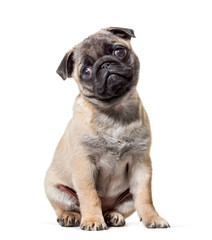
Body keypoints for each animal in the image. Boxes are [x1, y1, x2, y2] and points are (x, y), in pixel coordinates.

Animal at [44, 26, 170, 231]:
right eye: (86, 71)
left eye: (119, 52)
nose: (105, 64)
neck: (114, 111)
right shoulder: (84, 165)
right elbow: (90, 196)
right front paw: (92, 220)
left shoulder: (141, 164)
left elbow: (145, 197)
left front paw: (153, 217)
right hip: (55, 190)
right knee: (66, 207)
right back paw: (71, 216)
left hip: (127, 198)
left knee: (118, 207)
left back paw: (112, 215)